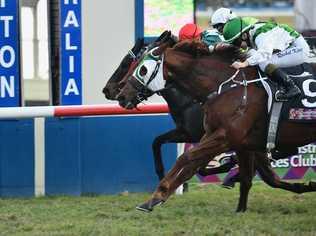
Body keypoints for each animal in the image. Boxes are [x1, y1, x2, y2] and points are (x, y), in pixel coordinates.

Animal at [116, 39, 316, 212]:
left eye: (142, 69)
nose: (121, 95)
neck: (224, 86)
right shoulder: (233, 140)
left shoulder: (225, 136)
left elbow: (186, 158)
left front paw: (158, 194)